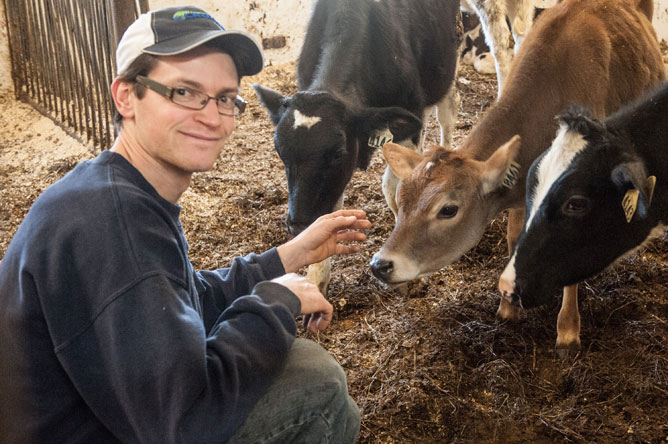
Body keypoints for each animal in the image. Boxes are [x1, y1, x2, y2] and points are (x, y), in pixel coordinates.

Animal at [253, 0, 462, 294]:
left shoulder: (410, 116)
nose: (299, 225)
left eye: (338, 154)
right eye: (280, 152)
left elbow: (395, 187)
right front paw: (316, 281)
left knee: (448, 114)